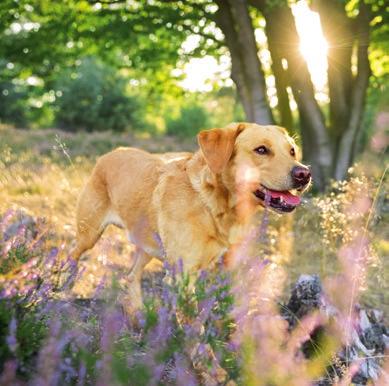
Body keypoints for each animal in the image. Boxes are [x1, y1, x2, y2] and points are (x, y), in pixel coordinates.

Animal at [72, 122, 310, 312]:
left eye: (292, 151)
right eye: (261, 150)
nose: (304, 174)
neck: (211, 204)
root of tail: (111, 152)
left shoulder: (226, 269)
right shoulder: (183, 275)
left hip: (148, 245)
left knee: (131, 276)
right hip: (89, 235)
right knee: (71, 255)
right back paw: (64, 284)